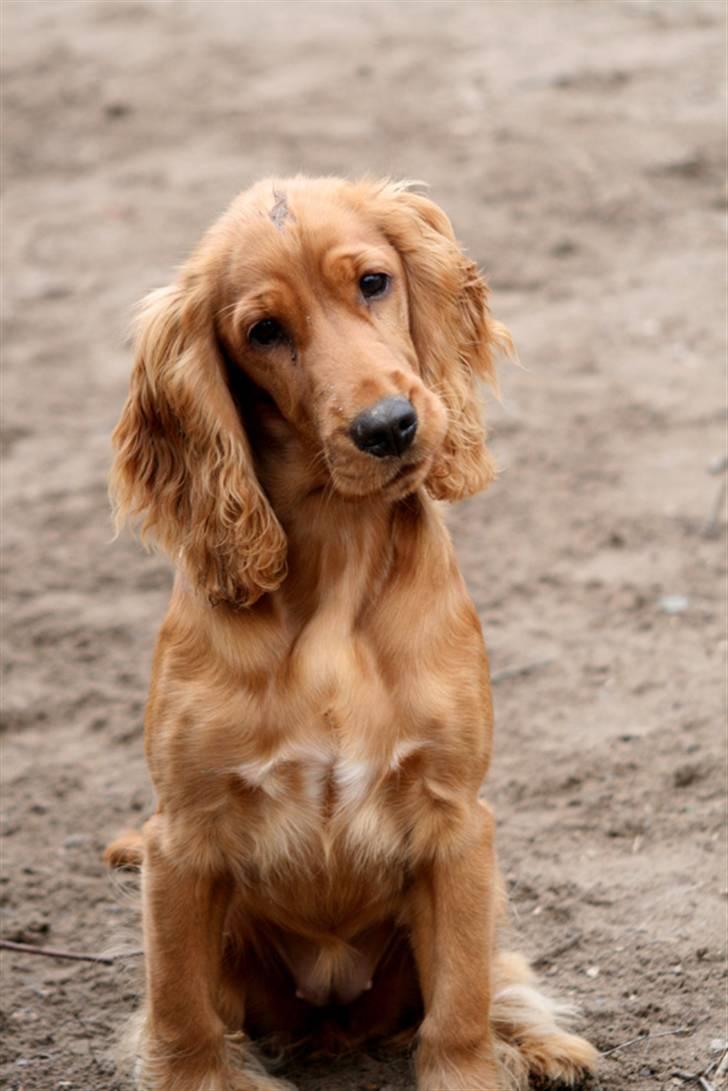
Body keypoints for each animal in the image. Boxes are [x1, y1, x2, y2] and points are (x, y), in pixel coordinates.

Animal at [106, 174, 598, 1086]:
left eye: (373, 282)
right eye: (263, 331)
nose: (389, 426)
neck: (335, 567)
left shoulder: (457, 822)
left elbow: (460, 1004)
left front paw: (479, 1061)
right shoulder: (181, 842)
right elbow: (182, 1018)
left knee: (497, 976)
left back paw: (541, 1043)